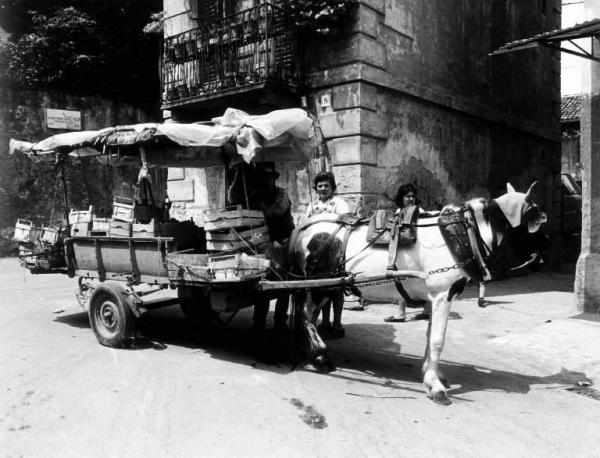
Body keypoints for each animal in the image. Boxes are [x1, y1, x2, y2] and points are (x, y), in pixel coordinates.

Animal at [290, 182, 548, 404]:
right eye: (539, 221)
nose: (543, 259)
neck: (462, 234)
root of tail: (307, 226)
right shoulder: (443, 295)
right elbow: (437, 339)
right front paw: (435, 386)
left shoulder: (437, 298)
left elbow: (429, 335)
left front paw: (430, 373)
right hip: (318, 284)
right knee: (306, 314)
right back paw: (321, 357)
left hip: (324, 286)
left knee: (309, 315)